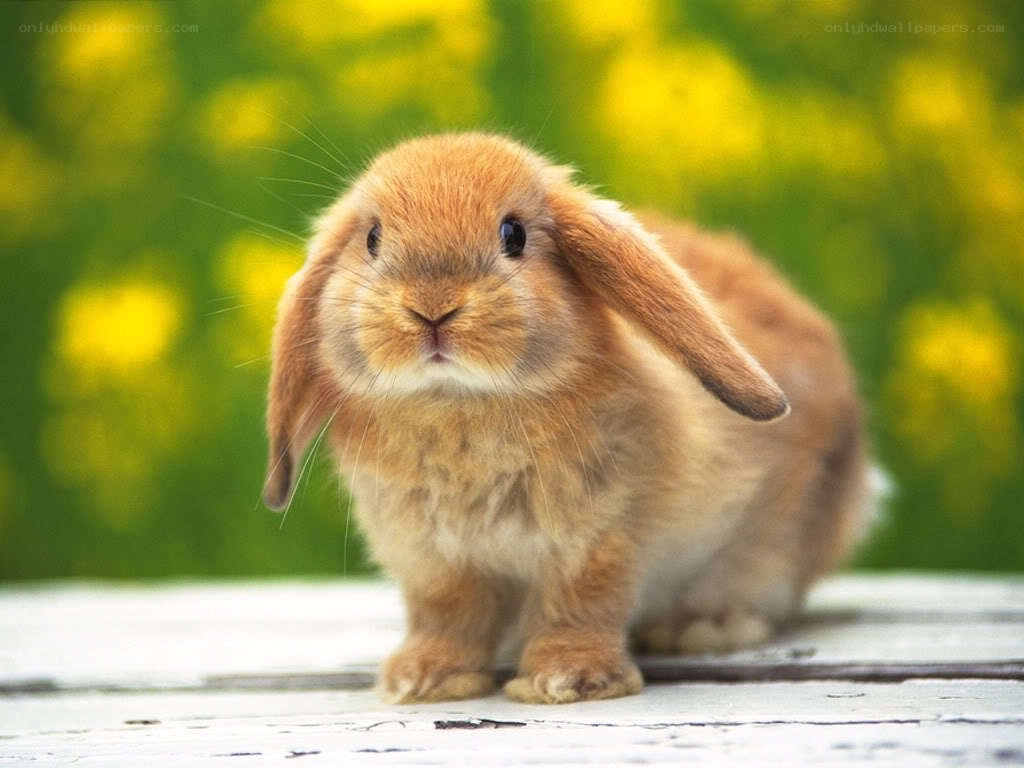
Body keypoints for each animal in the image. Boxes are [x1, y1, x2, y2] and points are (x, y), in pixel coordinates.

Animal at [262, 132, 870, 704]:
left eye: (514, 235)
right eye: (372, 238)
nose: (432, 307)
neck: (459, 405)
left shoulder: (599, 538)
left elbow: (580, 604)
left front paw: (566, 680)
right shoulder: (431, 559)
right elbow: (447, 615)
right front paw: (422, 680)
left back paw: (703, 628)